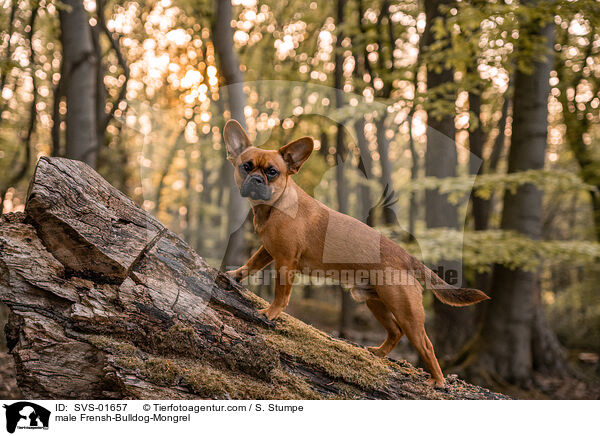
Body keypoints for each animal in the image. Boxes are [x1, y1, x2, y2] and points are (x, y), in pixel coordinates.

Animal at [223, 120, 490, 388]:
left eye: (272, 172)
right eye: (246, 166)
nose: (256, 179)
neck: (275, 206)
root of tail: (407, 256)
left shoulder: (286, 262)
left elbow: (281, 294)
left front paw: (271, 312)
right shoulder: (268, 251)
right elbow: (251, 263)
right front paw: (235, 275)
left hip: (407, 312)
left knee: (425, 345)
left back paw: (437, 380)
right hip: (375, 301)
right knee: (395, 332)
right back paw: (379, 353)